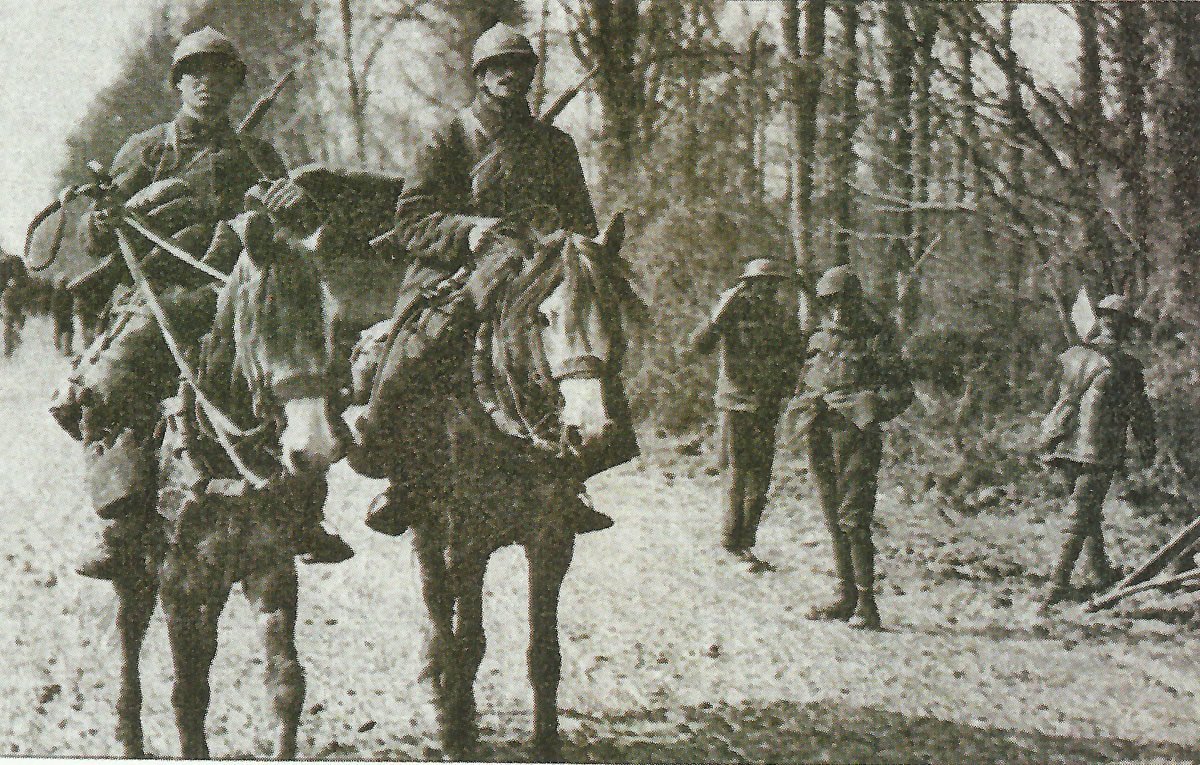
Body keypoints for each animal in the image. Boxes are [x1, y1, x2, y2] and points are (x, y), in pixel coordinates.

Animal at [108, 214, 345, 762]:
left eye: (330, 323)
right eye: (267, 319)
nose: (315, 449)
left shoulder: (270, 569)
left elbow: (286, 684)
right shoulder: (180, 583)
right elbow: (188, 693)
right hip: (138, 570)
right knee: (128, 638)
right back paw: (128, 736)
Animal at [355, 215, 648, 762]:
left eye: (611, 313)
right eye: (544, 318)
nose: (591, 433)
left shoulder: (552, 540)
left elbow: (544, 650)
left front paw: (546, 741)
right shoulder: (466, 540)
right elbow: (469, 641)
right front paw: (458, 733)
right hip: (425, 520)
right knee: (435, 598)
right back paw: (439, 684)